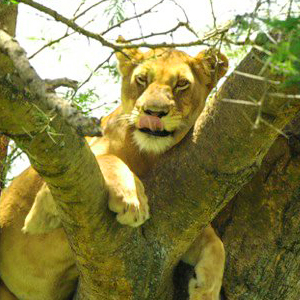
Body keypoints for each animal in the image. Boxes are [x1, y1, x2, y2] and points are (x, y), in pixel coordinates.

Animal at [0, 42, 227, 300]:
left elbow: (214, 242)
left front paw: (206, 289)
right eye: (141, 79)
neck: (148, 155)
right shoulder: (67, 160)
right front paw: (132, 201)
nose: (153, 112)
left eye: (181, 83)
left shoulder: (176, 230)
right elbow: (109, 159)